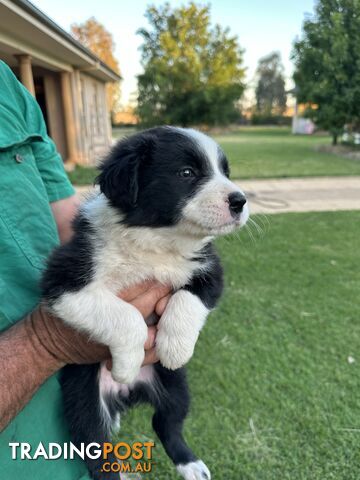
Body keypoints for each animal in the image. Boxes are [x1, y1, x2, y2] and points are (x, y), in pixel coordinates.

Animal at [41, 125, 248, 478]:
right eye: (187, 173)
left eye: (226, 173)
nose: (240, 201)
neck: (156, 242)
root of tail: (127, 395)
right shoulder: (64, 281)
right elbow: (127, 317)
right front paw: (127, 363)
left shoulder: (210, 269)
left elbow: (188, 299)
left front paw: (176, 348)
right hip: (82, 400)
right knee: (95, 448)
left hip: (175, 386)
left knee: (167, 422)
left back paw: (192, 465)